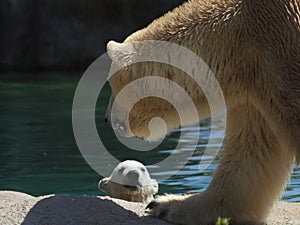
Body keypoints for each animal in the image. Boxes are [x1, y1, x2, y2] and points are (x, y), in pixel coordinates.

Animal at [103, 0, 300, 224]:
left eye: (112, 85)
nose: (107, 119)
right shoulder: (258, 85)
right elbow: (254, 149)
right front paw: (166, 205)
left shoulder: (280, 56)